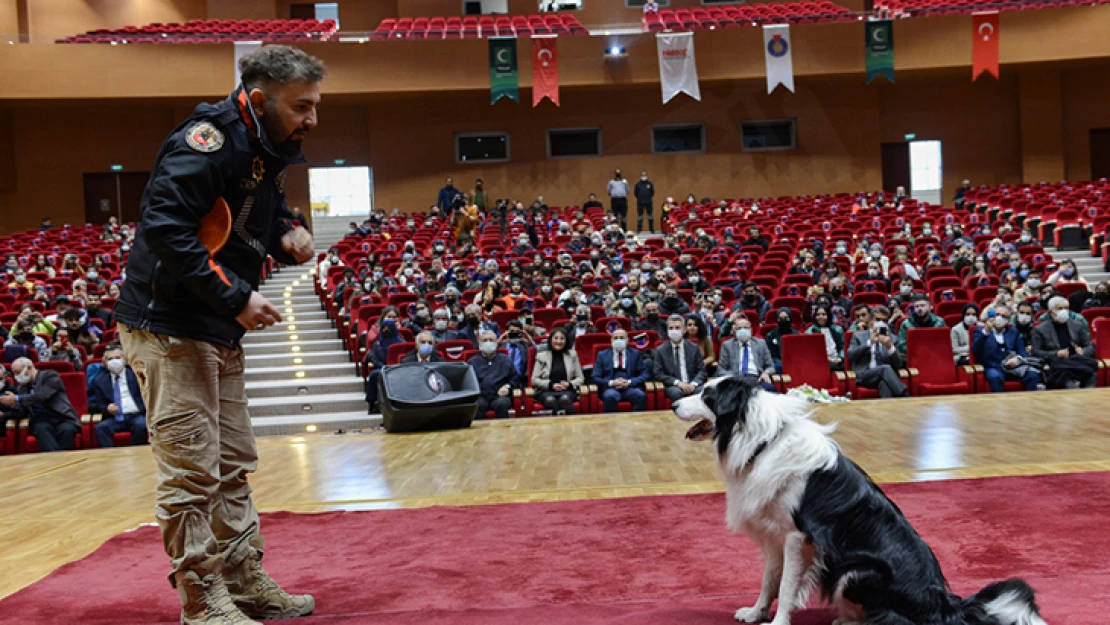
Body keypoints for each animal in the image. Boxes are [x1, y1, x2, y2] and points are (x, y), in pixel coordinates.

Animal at [670, 377, 1043, 625]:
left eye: (707, 395)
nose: (673, 403)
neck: (762, 440)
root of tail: (947, 608)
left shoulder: (798, 537)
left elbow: (787, 586)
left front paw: (777, 622)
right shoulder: (774, 532)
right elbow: (769, 580)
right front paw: (755, 612)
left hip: (857, 572)